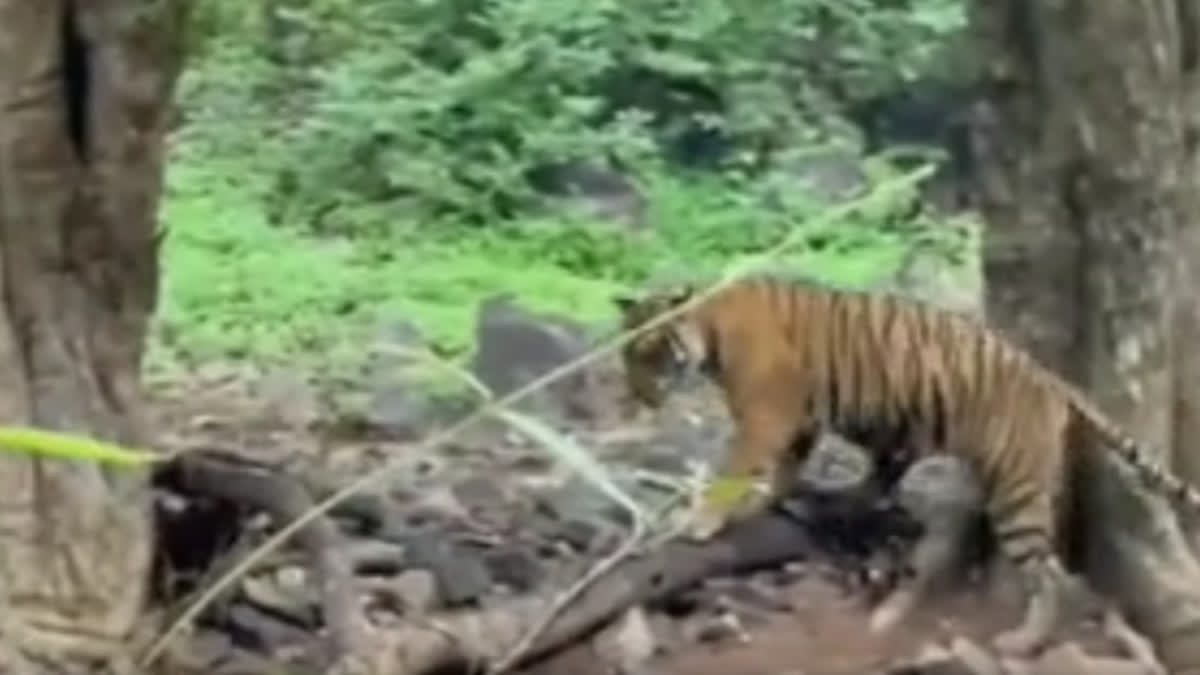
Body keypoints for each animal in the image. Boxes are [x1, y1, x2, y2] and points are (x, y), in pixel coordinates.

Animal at [614, 270, 1200, 653]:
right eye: (626, 356)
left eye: (650, 352)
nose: (637, 398)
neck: (708, 328)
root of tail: (1049, 376)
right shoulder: (796, 423)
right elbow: (784, 468)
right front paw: (767, 501)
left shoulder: (766, 416)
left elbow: (733, 471)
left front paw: (700, 521)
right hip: (905, 426)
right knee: (886, 475)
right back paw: (844, 495)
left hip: (1014, 489)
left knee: (1048, 573)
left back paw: (1024, 641)